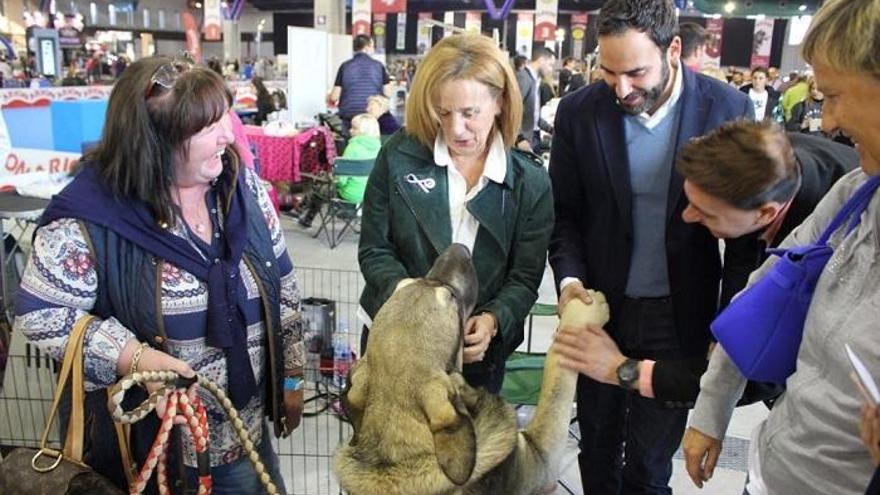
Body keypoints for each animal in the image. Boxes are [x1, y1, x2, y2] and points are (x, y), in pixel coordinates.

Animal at [334, 246, 608, 494]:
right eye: (452, 298)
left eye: (406, 283)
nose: (460, 248)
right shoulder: (541, 459)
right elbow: (557, 375)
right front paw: (586, 308)